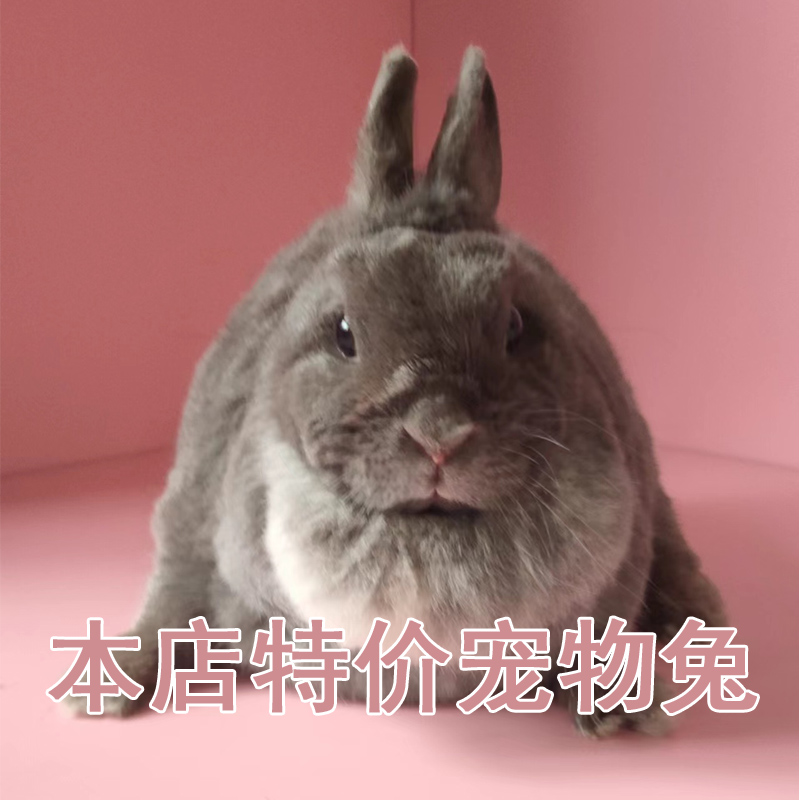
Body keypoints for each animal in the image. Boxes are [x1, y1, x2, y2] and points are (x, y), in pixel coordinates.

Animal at [67, 45, 726, 735]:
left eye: (516, 327)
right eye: (343, 333)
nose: (438, 432)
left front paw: (615, 706)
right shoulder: (192, 539)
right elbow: (173, 613)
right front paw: (107, 689)